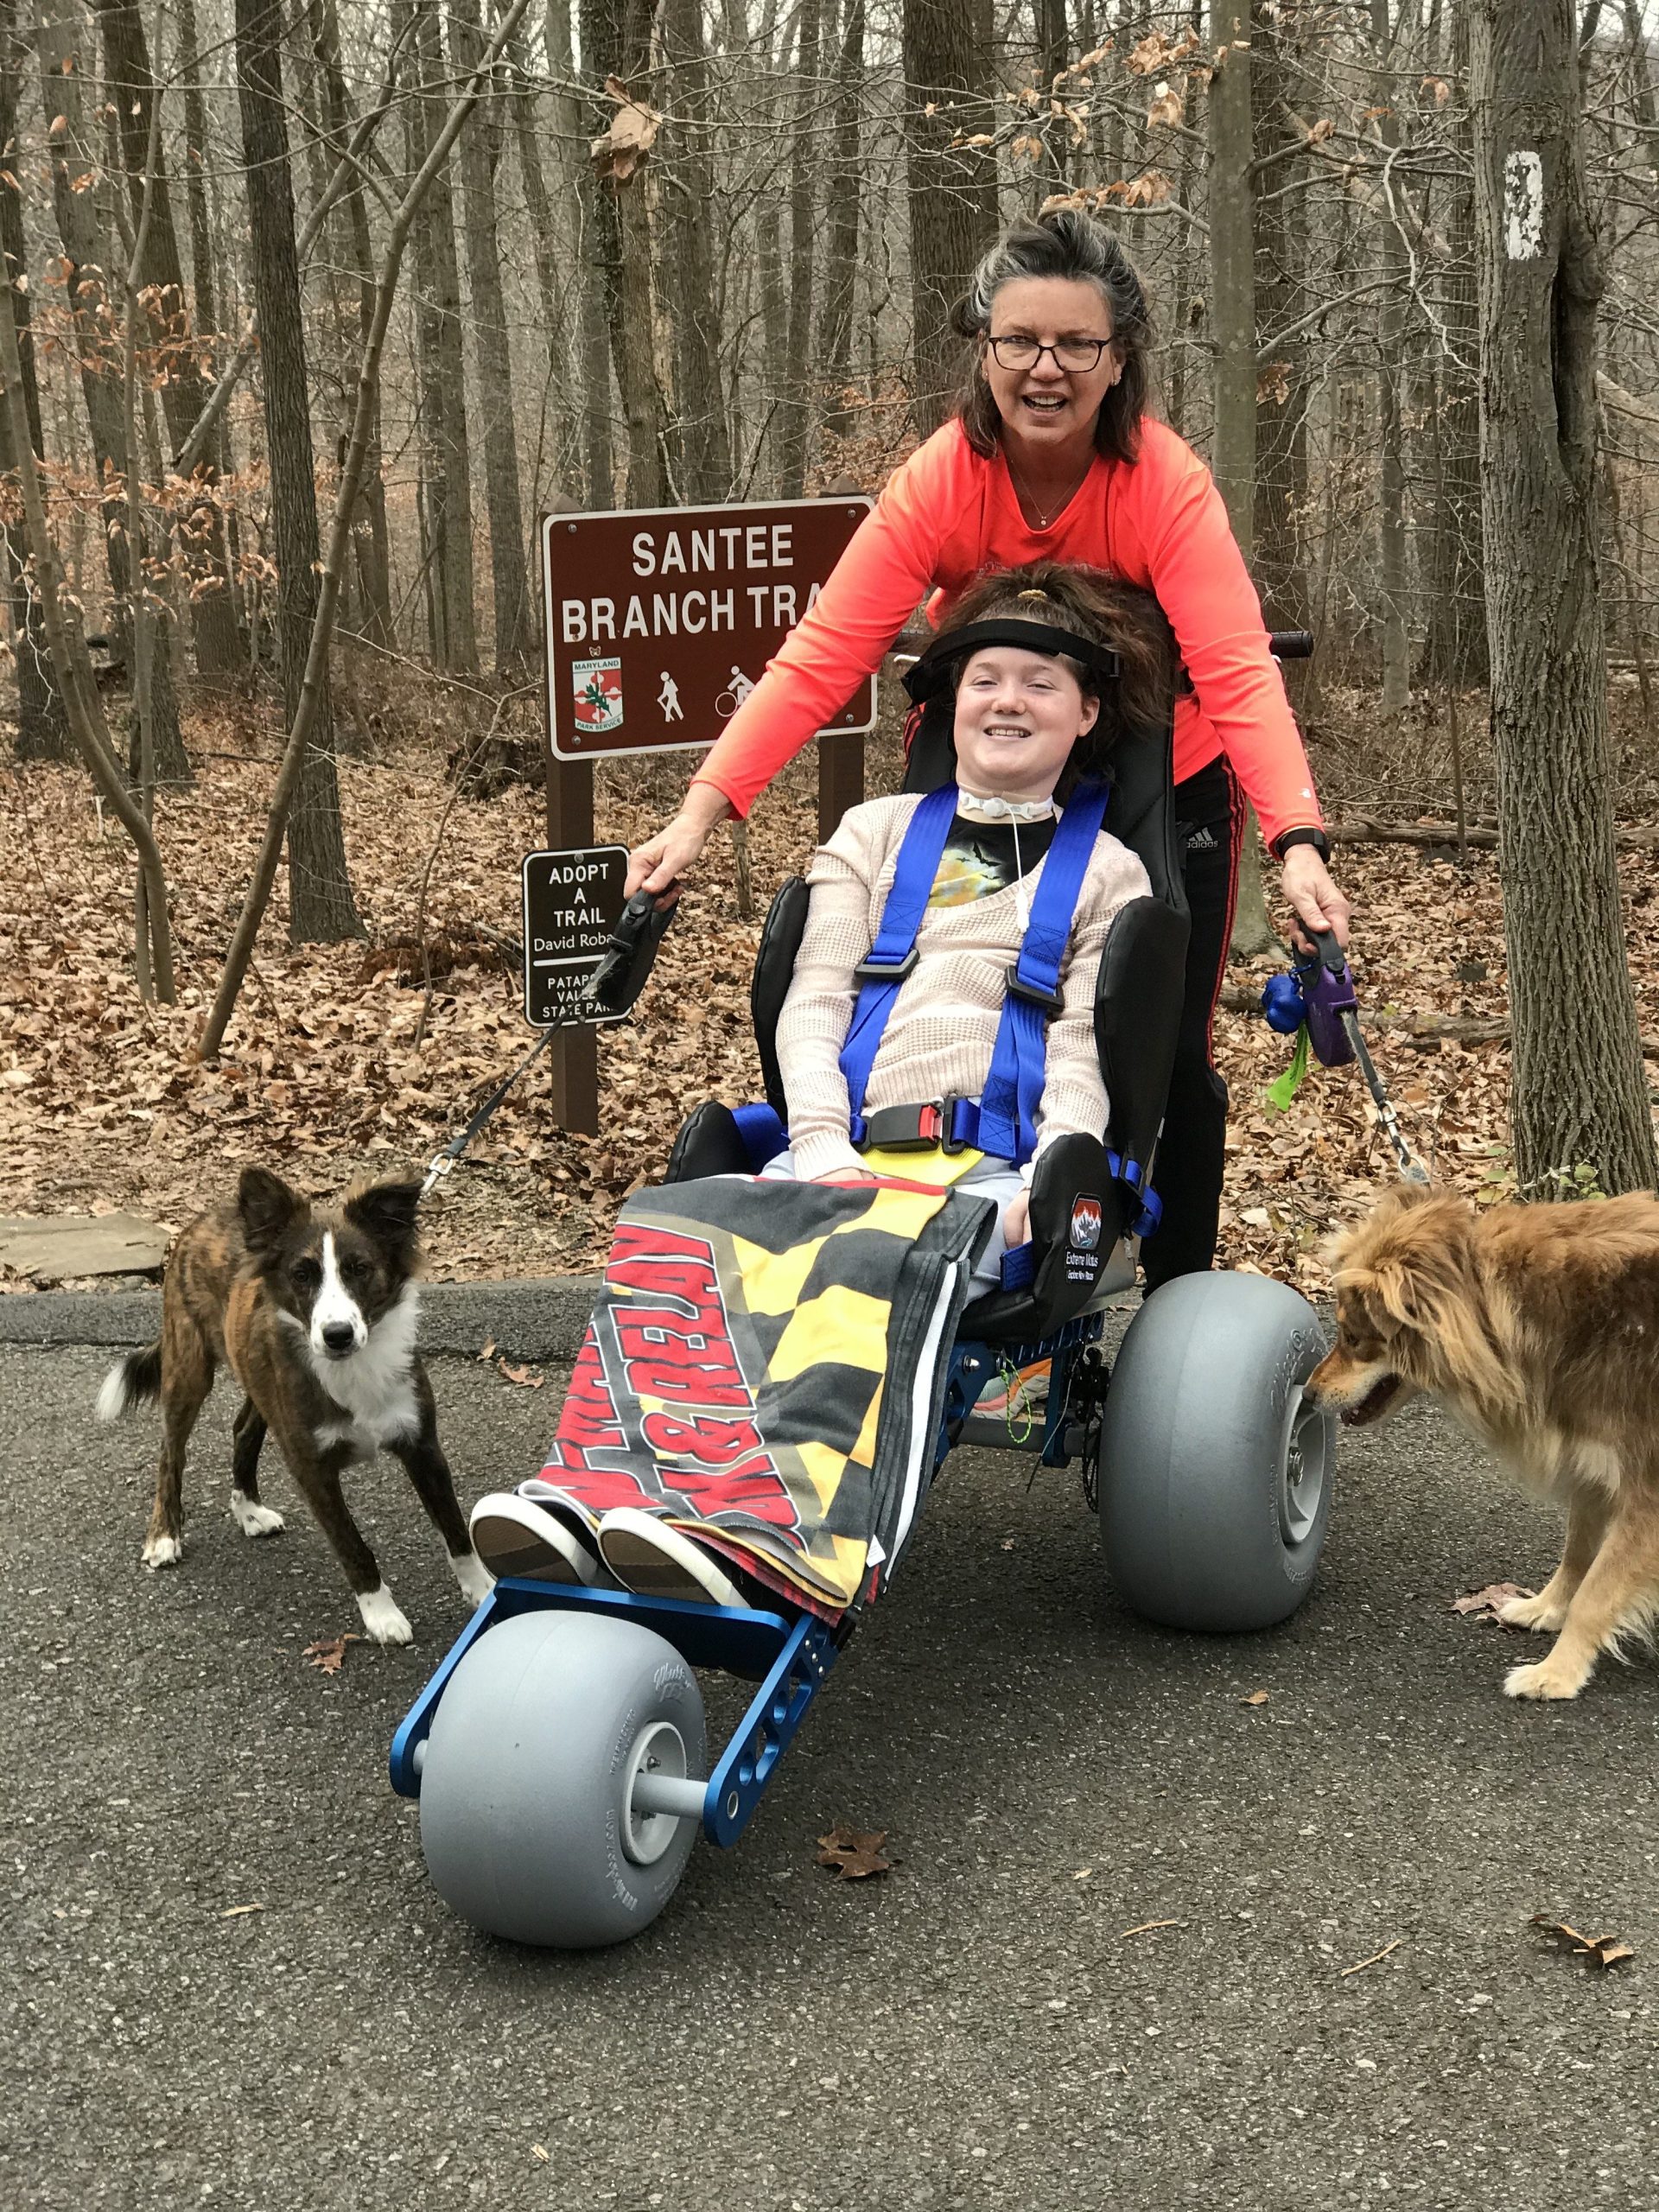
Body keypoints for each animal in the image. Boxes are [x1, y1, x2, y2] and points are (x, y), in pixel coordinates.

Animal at [98, 1167, 491, 1637]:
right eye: (302, 1274)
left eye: (359, 1269)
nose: (337, 1335)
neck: (353, 1366)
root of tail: (209, 1215)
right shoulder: (312, 1467)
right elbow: (352, 1545)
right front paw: (381, 1614)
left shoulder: (422, 1444)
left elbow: (456, 1527)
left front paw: (484, 1590)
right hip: (187, 1367)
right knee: (170, 1454)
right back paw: (164, 1534)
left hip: (258, 1381)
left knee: (243, 1430)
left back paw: (249, 1509)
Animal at [1309, 1185, 1659, 1699]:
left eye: (1353, 1338)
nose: (1307, 1394)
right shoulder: (1593, 1465)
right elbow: (1577, 1555)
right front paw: (1546, 1607)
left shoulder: (1646, 1498)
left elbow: (1596, 1594)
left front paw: (1557, 1673)